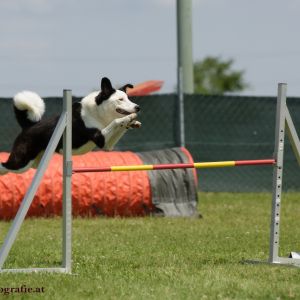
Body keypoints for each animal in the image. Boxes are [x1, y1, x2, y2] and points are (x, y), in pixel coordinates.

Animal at [0, 77, 141, 175]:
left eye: (128, 98)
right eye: (120, 99)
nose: (137, 107)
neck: (97, 112)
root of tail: (27, 126)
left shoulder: (107, 145)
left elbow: (118, 125)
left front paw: (132, 122)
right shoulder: (100, 138)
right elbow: (116, 121)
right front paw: (128, 118)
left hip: (33, 163)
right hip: (21, 161)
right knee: (4, 165)